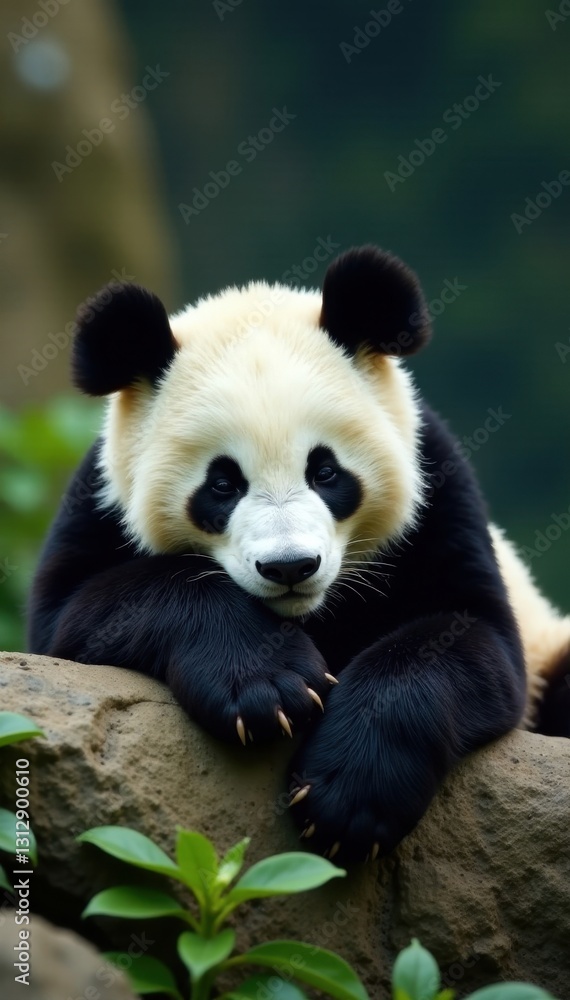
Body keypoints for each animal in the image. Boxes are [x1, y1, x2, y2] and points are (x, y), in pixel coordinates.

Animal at [28, 245, 570, 863]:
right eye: (222, 485)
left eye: (326, 471)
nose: (289, 567)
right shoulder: (99, 502)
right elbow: (79, 612)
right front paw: (267, 688)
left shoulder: (437, 494)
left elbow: (469, 637)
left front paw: (347, 800)